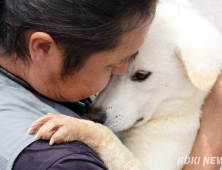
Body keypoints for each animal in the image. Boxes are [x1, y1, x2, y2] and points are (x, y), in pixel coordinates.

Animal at [28, 0, 222, 169]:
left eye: (141, 75)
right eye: (112, 70)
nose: (93, 116)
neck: (175, 111)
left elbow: (106, 134)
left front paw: (74, 125)